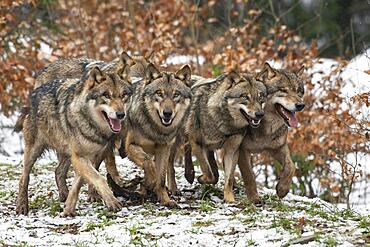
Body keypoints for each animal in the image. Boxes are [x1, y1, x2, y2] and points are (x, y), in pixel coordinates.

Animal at [14, 64, 133, 216]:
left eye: (124, 95)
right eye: (106, 95)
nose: (120, 114)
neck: (93, 126)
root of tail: (34, 93)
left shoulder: (89, 157)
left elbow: (77, 185)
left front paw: (69, 210)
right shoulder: (80, 157)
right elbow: (99, 178)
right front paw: (112, 202)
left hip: (67, 153)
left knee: (58, 171)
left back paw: (64, 196)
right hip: (33, 151)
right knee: (24, 177)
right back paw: (22, 206)